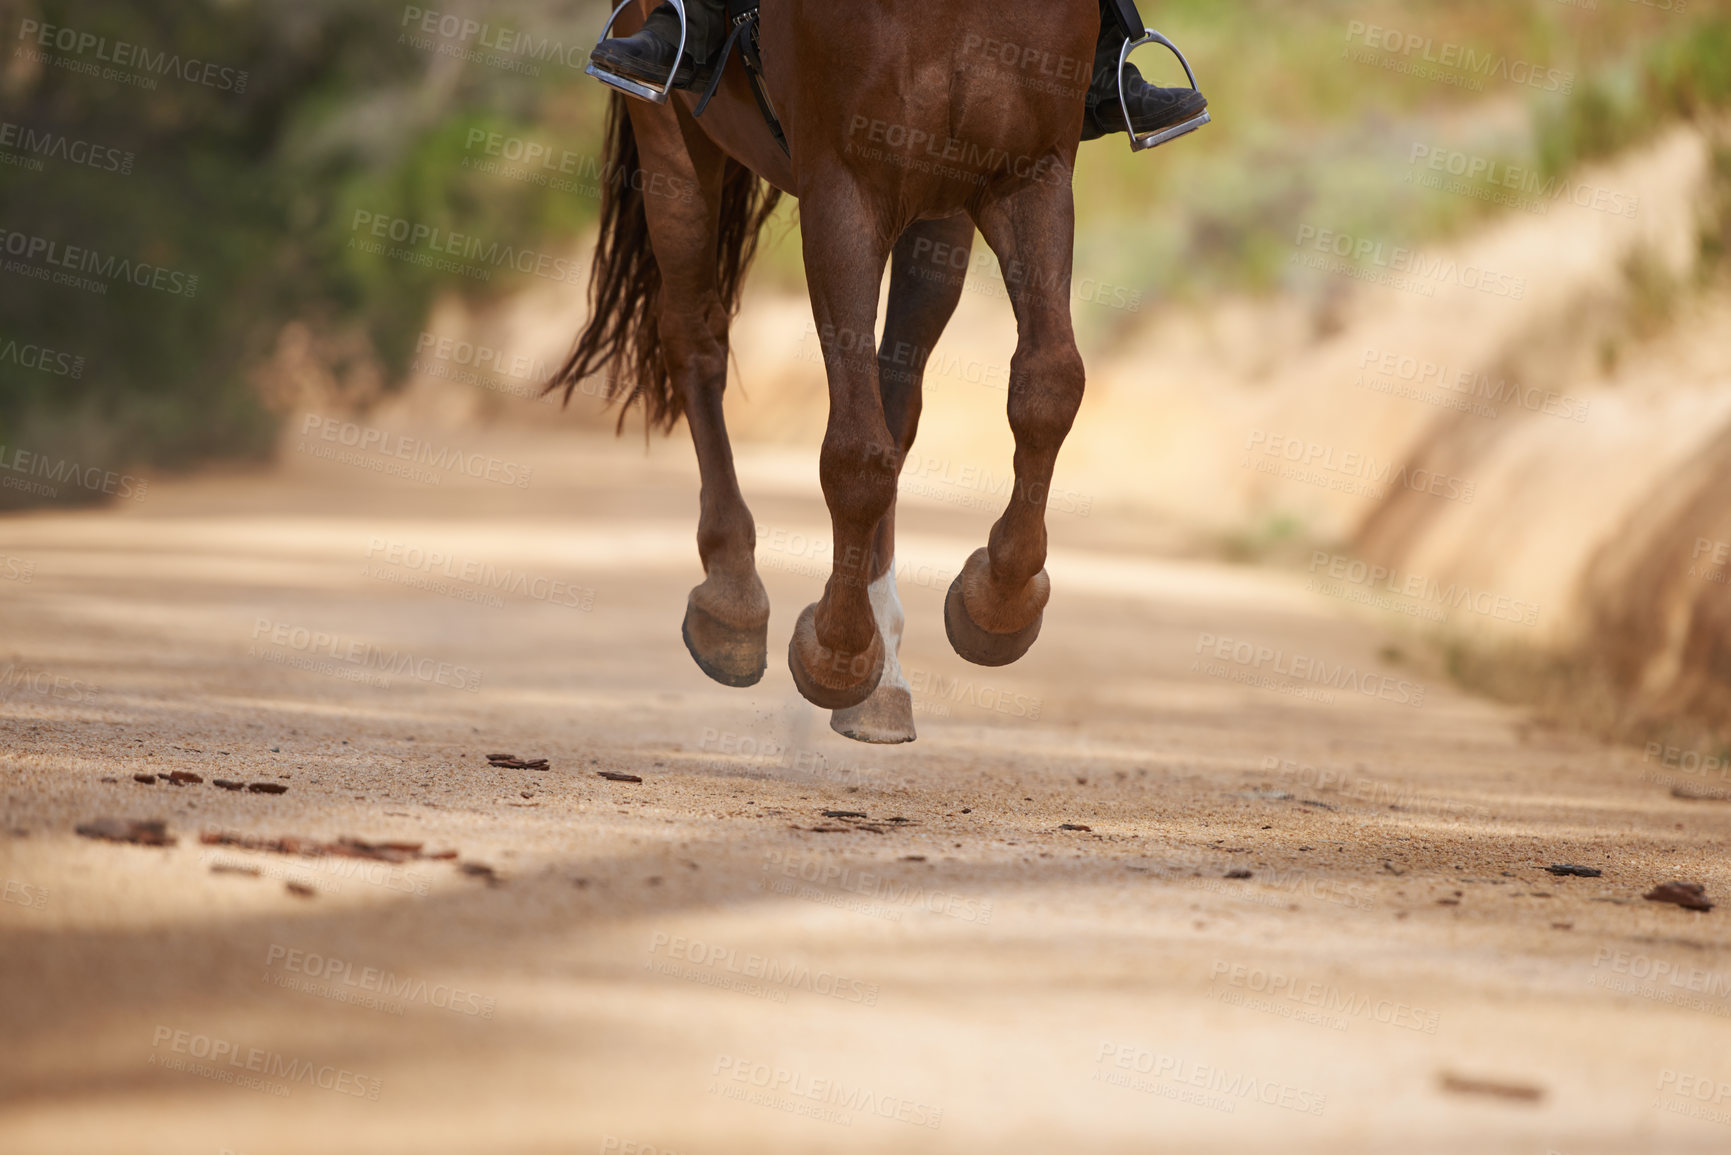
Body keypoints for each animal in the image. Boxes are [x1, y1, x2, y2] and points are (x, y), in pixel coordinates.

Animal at [553, 0, 1093, 744]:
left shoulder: (1029, 174)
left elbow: (1048, 387)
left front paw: (996, 605)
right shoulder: (844, 189)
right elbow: (857, 456)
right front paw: (835, 655)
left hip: (938, 218)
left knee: (897, 396)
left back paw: (886, 671)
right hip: (672, 140)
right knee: (695, 339)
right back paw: (733, 599)